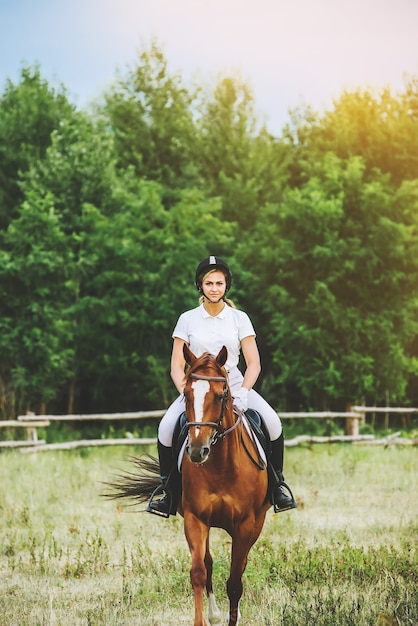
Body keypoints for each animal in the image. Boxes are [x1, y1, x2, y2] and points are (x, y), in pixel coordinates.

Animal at [105, 342, 272, 624]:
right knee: (209, 562)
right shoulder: (195, 518)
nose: (196, 451)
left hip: (255, 524)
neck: (222, 467)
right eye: (186, 393)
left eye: (221, 395)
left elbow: (235, 582)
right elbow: (199, 572)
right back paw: (214, 615)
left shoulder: (246, 524)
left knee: (240, 565)